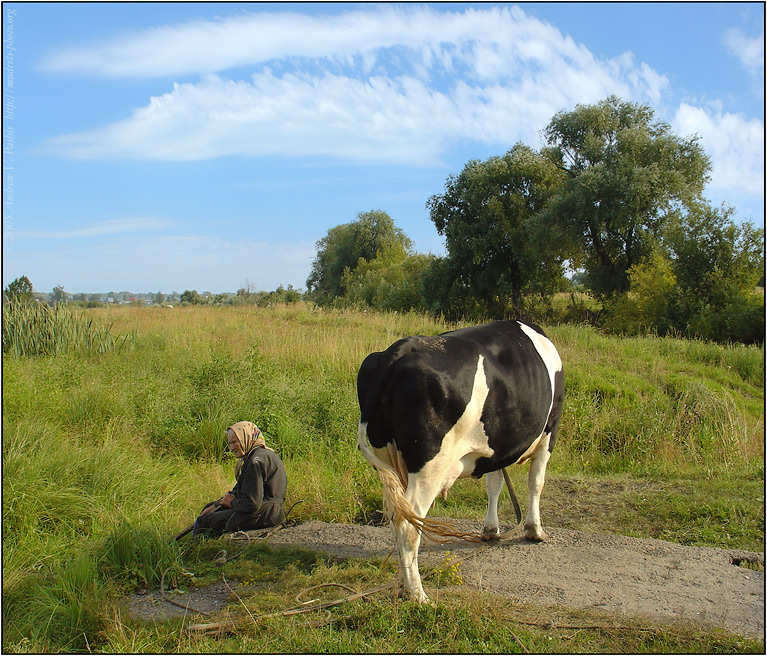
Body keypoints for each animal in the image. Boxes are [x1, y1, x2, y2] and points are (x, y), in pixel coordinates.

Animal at [358, 320, 564, 604]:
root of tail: (400, 349)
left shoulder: (495, 445)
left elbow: (494, 483)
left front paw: (491, 530)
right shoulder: (549, 433)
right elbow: (536, 482)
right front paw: (535, 530)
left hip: (387, 461)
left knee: (397, 514)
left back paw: (402, 585)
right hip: (430, 465)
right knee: (409, 523)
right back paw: (418, 595)